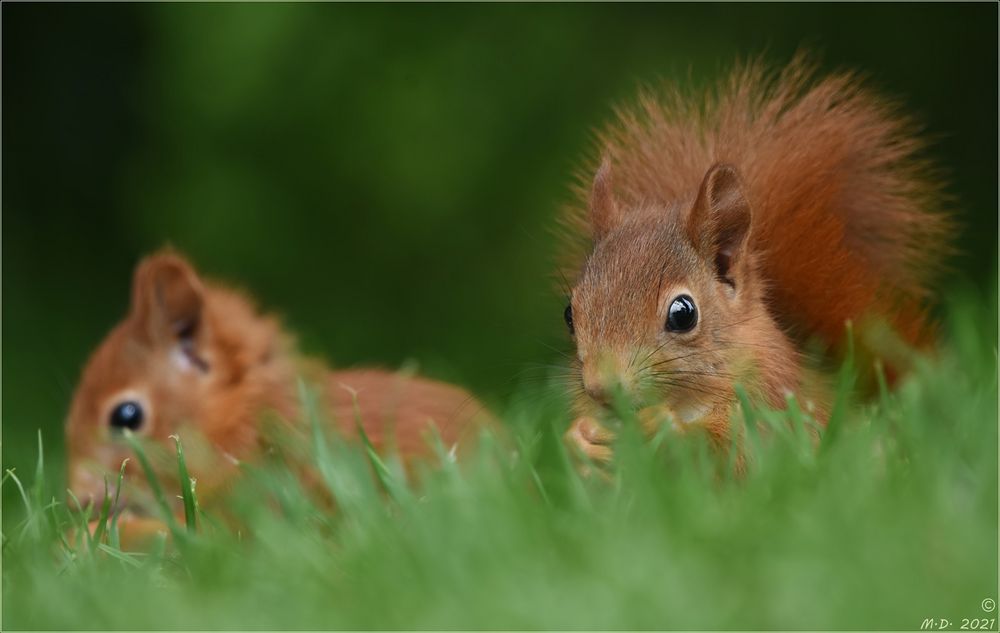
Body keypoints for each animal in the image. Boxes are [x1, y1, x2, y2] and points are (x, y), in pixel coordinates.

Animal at [560, 56, 956, 460]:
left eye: (683, 314)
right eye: (569, 315)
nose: (601, 390)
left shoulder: (773, 403)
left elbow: (741, 450)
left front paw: (663, 428)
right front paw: (578, 440)